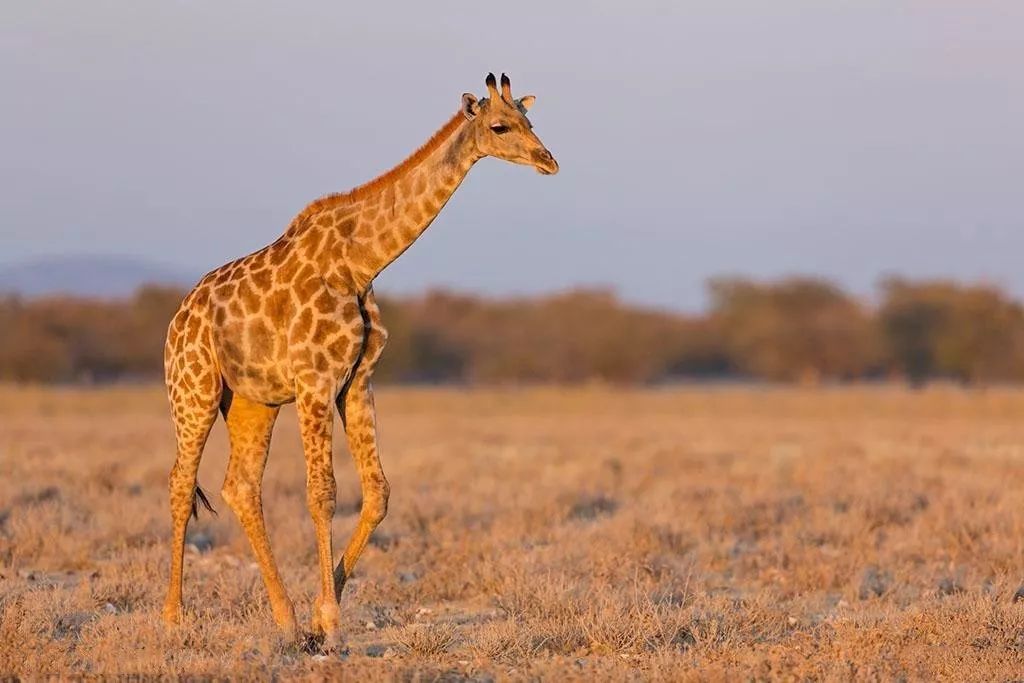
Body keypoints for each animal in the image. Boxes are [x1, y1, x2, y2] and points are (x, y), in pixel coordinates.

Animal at [161, 74, 561, 647]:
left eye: (531, 121)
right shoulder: (315, 380)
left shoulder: (358, 381)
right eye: (500, 126)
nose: (548, 160)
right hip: (193, 388)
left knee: (240, 487)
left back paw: (284, 617)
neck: (362, 261)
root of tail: (177, 318)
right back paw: (173, 616)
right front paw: (329, 617)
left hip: (253, 401)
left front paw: (317, 612)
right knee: (179, 483)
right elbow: (322, 493)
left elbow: (378, 493)